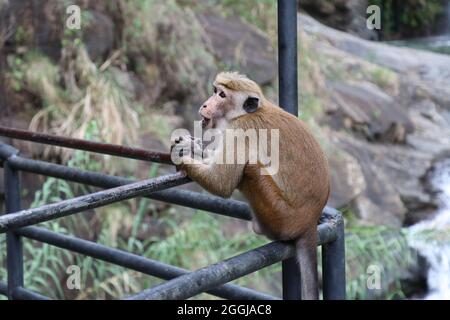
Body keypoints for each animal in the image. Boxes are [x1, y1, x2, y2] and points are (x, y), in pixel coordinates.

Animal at [172, 71, 330, 298]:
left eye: (221, 95)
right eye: (215, 91)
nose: (205, 104)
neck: (243, 114)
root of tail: (310, 221)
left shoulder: (240, 130)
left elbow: (221, 183)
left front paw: (181, 158)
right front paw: (190, 146)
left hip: (283, 218)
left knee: (251, 168)